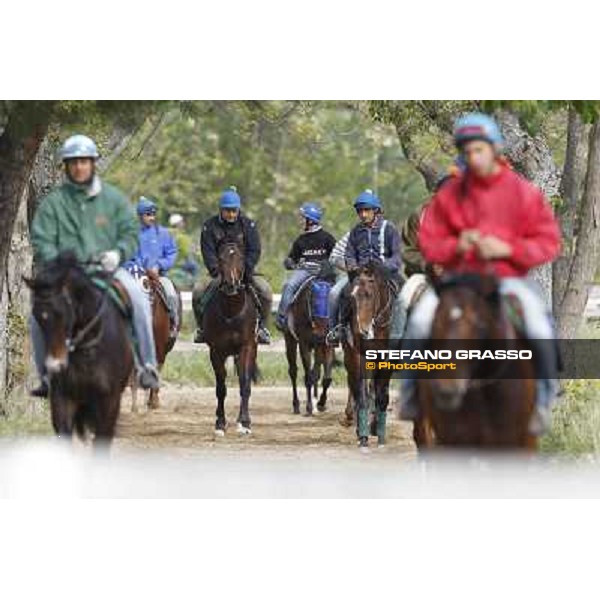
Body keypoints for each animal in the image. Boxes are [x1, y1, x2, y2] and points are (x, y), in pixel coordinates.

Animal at [25, 251, 132, 448]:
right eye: (37, 315)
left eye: (61, 312)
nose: (55, 365)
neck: (86, 350)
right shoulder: (62, 398)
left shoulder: (110, 401)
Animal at [200, 238, 264, 436]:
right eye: (220, 258)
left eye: (241, 258)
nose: (231, 285)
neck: (231, 310)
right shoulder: (216, 351)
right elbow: (221, 387)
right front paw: (220, 424)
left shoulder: (247, 347)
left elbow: (244, 383)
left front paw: (244, 423)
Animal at [284, 278, 336, 414]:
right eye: (313, 303)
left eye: (331, 303)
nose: (320, 333)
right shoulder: (304, 344)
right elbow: (308, 377)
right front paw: (309, 407)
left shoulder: (326, 344)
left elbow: (326, 379)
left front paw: (321, 403)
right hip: (290, 340)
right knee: (293, 371)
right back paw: (296, 405)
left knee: (316, 373)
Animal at [340, 262, 396, 450]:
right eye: (351, 297)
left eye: (369, 294)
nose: (362, 331)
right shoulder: (359, 358)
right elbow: (362, 395)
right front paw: (363, 437)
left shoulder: (387, 361)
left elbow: (382, 396)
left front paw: (380, 435)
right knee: (356, 389)